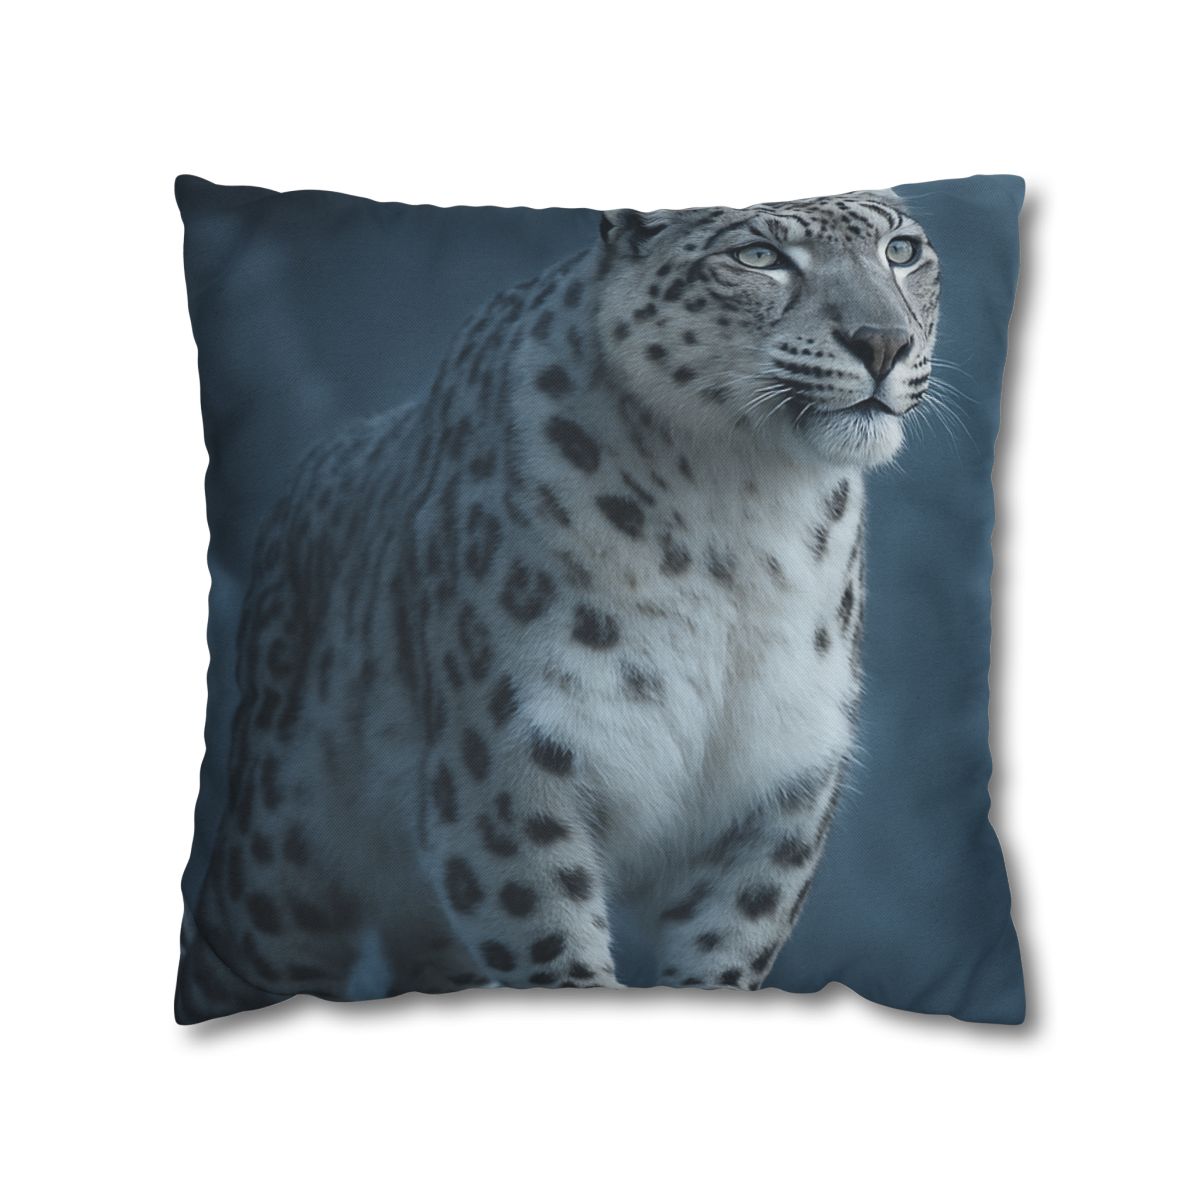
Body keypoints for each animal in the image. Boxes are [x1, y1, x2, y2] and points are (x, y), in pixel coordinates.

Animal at [176, 190, 941, 1022]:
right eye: (759, 256)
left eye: (901, 251)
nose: (884, 342)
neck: (745, 516)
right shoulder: (506, 768)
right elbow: (552, 944)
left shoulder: (776, 786)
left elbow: (725, 951)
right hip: (281, 866)